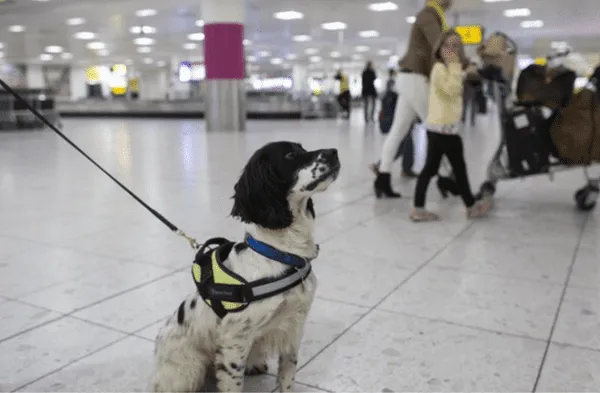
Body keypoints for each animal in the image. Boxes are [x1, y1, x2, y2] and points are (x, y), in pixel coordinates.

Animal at [152, 141, 340, 392]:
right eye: (290, 154)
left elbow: (287, 375)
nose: (334, 152)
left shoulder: (294, 326)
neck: (283, 255)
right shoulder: (235, 340)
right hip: (188, 368)